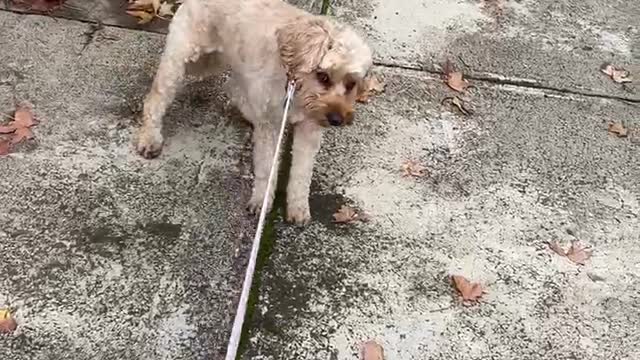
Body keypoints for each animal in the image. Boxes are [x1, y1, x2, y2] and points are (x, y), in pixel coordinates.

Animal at [138, 0, 372, 224]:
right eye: (323, 76)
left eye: (351, 84)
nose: (336, 119)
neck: (295, 87)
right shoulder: (271, 126)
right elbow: (267, 168)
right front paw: (262, 201)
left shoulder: (309, 128)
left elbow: (302, 173)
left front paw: (298, 208)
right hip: (183, 60)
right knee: (155, 98)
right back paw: (149, 138)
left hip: (217, 61)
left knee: (232, 87)